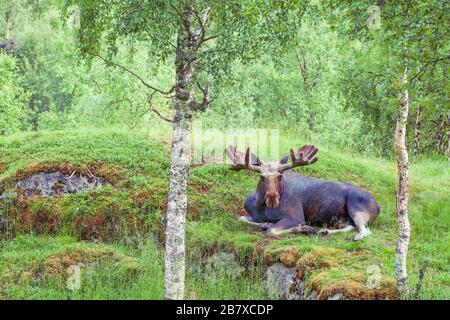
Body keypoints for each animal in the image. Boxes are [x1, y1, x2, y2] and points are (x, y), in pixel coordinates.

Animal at [225, 145, 380, 240]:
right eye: (262, 177)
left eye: (280, 176)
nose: (273, 199)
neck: (260, 206)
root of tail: (379, 206)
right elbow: (242, 218)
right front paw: (266, 223)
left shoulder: (296, 216)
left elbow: (273, 230)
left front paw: (303, 228)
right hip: (343, 219)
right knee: (350, 227)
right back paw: (325, 231)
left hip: (356, 208)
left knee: (365, 230)